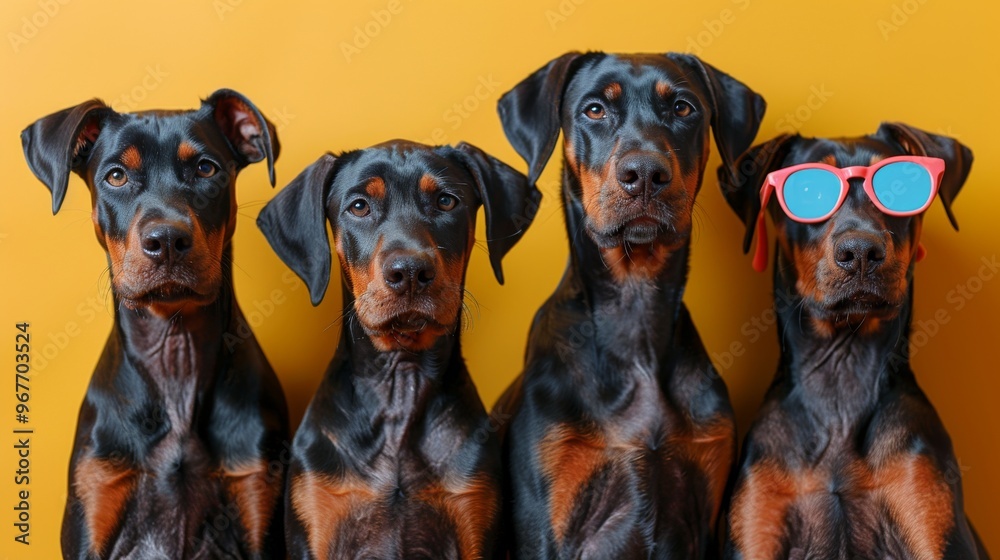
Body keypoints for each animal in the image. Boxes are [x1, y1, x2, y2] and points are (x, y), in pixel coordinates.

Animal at [20, 89, 290, 556]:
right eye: (116, 176)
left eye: (206, 168)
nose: (166, 240)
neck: (174, 349)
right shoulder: (96, 499)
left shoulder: (257, 497)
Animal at [254, 140, 544, 560]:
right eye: (359, 206)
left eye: (446, 201)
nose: (409, 272)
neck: (399, 387)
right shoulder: (317, 522)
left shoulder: (473, 518)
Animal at [716, 123, 988, 560]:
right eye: (806, 191)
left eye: (899, 184)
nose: (860, 251)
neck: (842, 379)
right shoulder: (757, 520)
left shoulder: (931, 514)